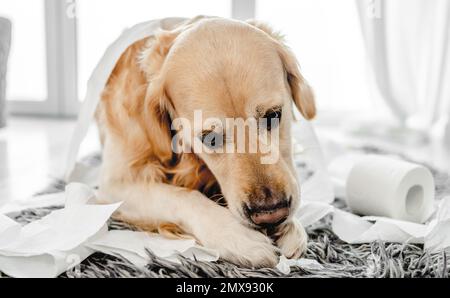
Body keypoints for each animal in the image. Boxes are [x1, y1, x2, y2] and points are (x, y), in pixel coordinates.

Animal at [96, 16, 312, 268]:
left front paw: (293, 227)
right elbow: (179, 195)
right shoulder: (113, 185)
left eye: (273, 115)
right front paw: (236, 236)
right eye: (210, 138)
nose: (271, 214)